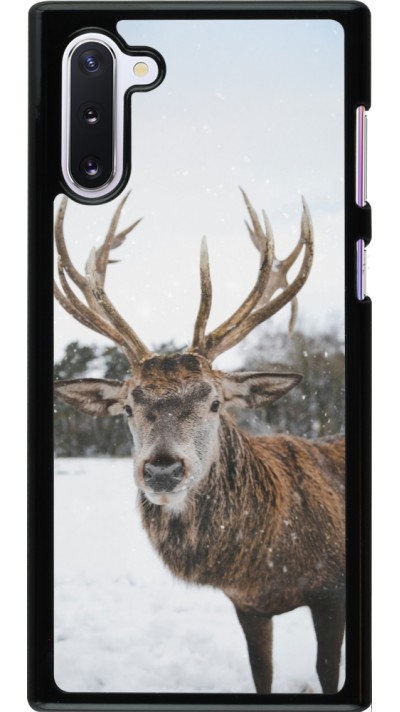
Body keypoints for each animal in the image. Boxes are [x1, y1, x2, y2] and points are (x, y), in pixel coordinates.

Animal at [54, 189, 345, 695]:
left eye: (214, 402)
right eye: (128, 407)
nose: (162, 469)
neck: (267, 565)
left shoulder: (333, 590)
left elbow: (329, 672)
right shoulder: (247, 605)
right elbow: (261, 674)